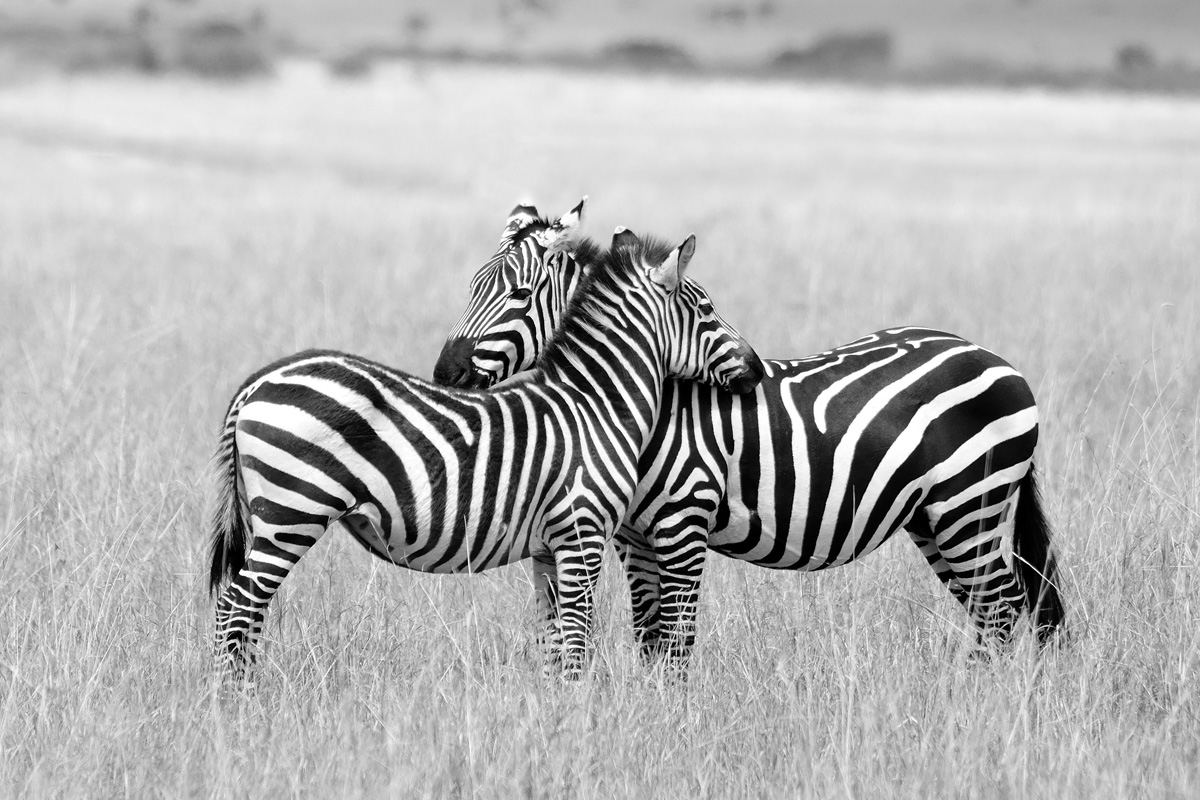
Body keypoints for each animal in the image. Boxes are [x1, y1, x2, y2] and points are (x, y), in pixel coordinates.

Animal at [207, 224, 765, 681]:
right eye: (707, 309)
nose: (758, 370)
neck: (595, 404)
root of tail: (258, 382)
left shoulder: (548, 547)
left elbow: (556, 643)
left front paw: (556, 717)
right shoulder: (582, 534)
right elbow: (577, 642)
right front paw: (581, 717)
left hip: (273, 515)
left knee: (238, 609)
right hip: (293, 511)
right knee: (236, 606)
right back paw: (232, 700)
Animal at [433, 203, 1066, 667]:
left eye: (517, 295)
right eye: (471, 287)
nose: (445, 374)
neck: (644, 403)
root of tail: (996, 359)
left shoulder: (682, 523)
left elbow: (675, 643)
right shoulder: (632, 537)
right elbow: (648, 639)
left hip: (970, 504)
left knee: (1005, 608)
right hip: (934, 518)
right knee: (996, 611)